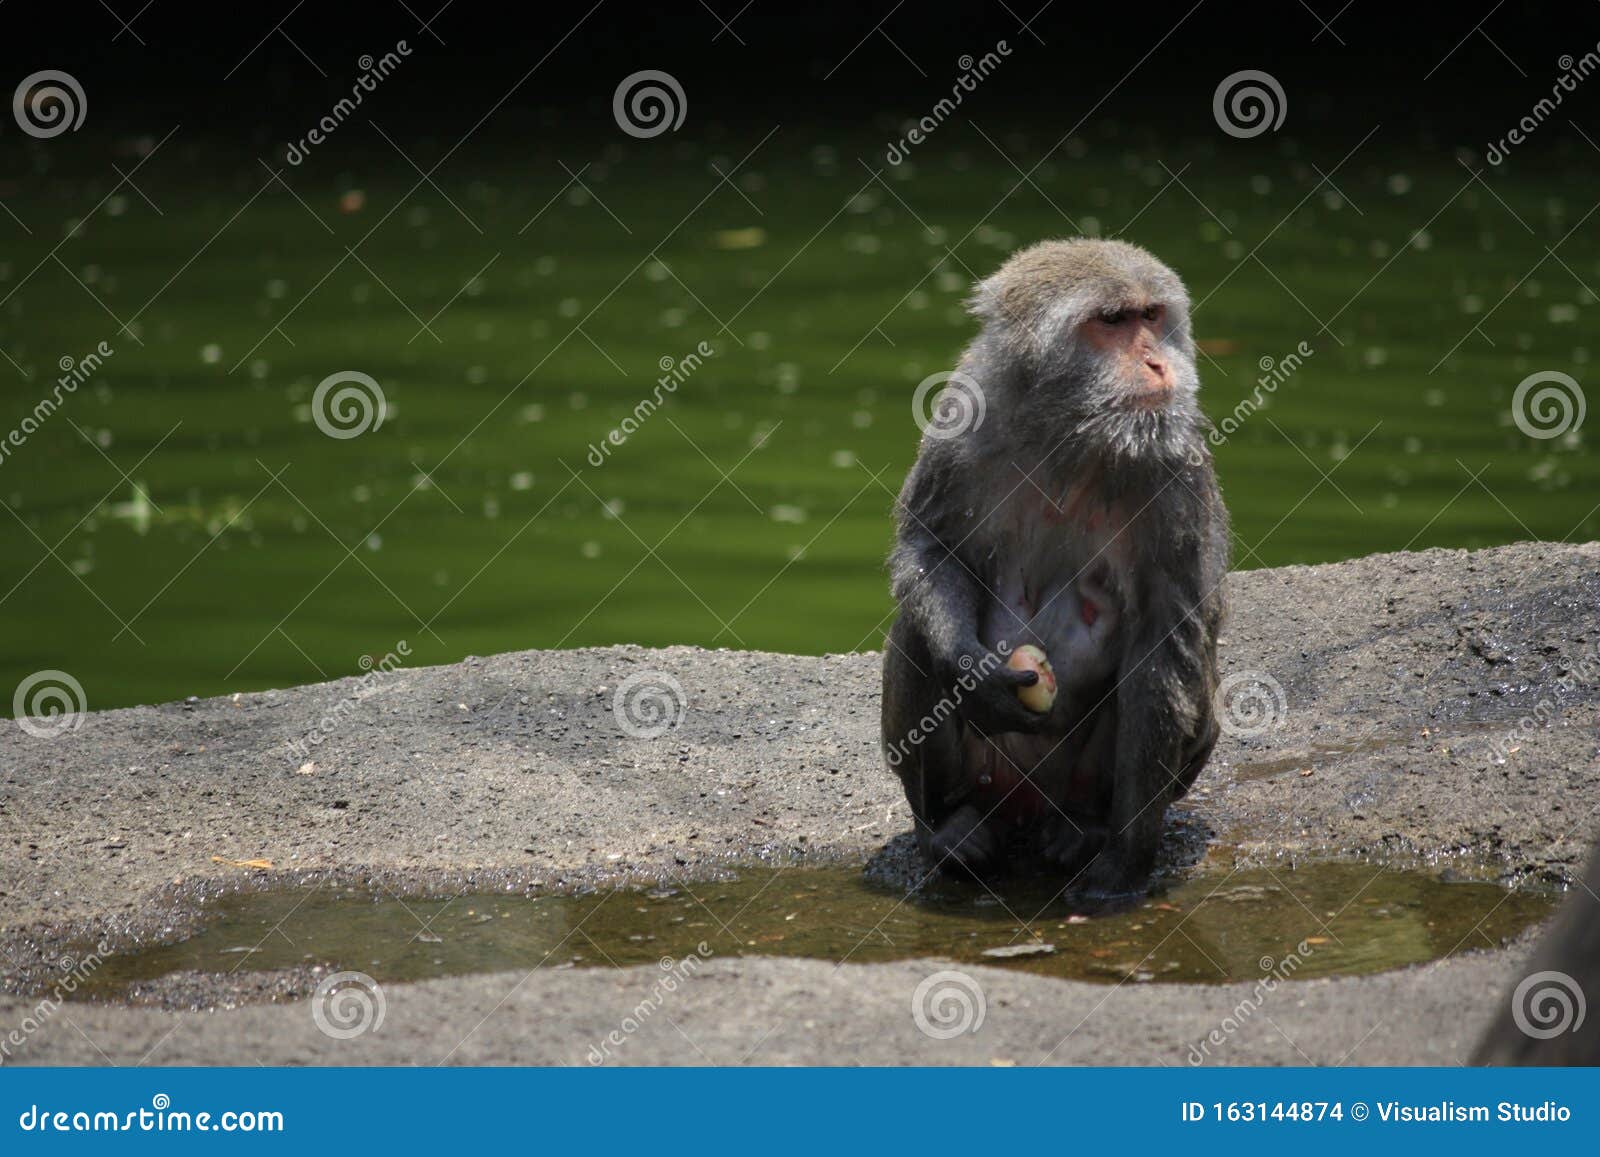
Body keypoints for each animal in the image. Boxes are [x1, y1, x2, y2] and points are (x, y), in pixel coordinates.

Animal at [883, 240, 1228, 902]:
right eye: (1112, 322)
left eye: (1151, 317)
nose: (1157, 364)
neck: (1070, 432)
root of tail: (1025, 807)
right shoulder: (964, 415)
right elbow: (930, 549)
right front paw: (971, 674)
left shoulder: (1177, 470)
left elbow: (1165, 640)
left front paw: (1123, 868)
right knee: (915, 633)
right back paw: (950, 829)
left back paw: (1085, 829)